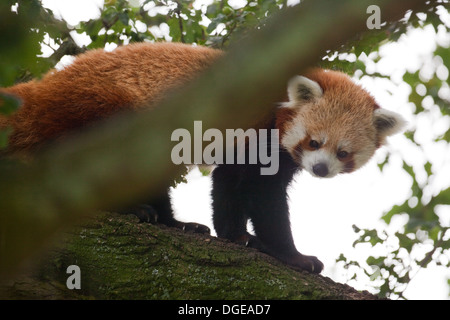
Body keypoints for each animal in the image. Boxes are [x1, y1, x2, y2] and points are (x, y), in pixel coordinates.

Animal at [0, 42, 408, 272]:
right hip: (102, 113)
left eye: (343, 152)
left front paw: (241, 237)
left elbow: (236, 188)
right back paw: (134, 211)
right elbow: (258, 198)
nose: (320, 169)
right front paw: (289, 254)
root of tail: (45, 87)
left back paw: (175, 223)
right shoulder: (254, 130)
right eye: (313, 142)